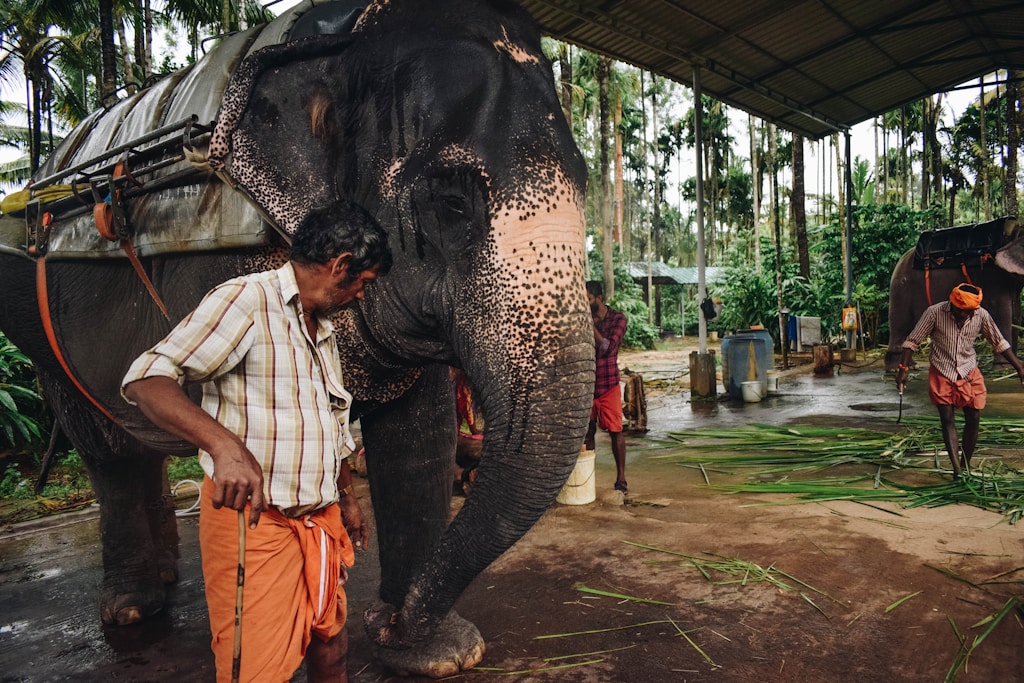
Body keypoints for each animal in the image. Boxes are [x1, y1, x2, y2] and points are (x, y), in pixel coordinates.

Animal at [0, 0, 592, 677]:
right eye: (451, 202)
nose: (388, 623)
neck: (343, 41)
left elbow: (421, 430)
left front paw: (433, 654)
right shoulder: (219, 262)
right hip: (40, 330)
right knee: (108, 449)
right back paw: (131, 609)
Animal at [885, 216, 1024, 371]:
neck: (1014, 235)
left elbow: (1016, 314)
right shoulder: (993, 278)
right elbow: (1002, 314)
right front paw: (1005, 368)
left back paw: (911, 366)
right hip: (901, 288)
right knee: (900, 323)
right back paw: (896, 368)